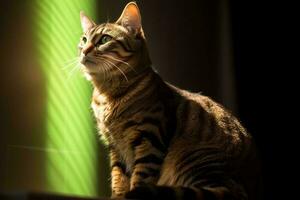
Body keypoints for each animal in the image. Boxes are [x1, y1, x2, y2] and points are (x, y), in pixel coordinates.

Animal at [78, 1, 262, 200]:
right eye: (84, 40)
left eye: (104, 39)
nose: (84, 51)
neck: (106, 94)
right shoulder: (115, 146)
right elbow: (118, 176)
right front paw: (118, 196)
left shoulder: (150, 137)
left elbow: (140, 175)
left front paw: (133, 193)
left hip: (194, 160)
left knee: (224, 191)